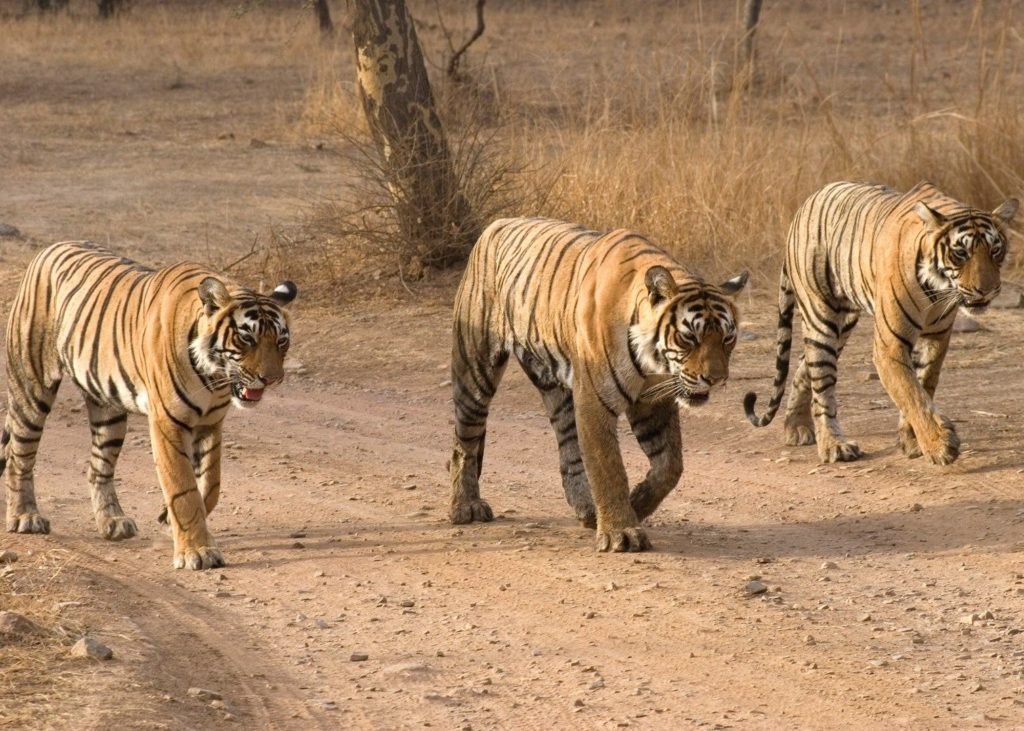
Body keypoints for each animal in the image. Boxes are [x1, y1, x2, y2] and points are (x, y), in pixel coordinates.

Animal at [4, 241, 299, 565]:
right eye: (247, 339)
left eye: (281, 341)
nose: (271, 379)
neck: (214, 378)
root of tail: (50, 248)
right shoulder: (169, 422)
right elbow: (183, 488)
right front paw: (197, 551)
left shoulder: (210, 423)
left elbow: (211, 483)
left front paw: (170, 521)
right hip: (32, 388)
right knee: (19, 455)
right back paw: (25, 517)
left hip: (108, 412)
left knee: (98, 467)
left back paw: (113, 522)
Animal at [452, 216, 749, 552]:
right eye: (690, 338)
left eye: (727, 338)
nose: (717, 379)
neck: (652, 361)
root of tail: (495, 224)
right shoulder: (595, 400)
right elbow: (609, 468)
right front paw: (622, 532)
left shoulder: (652, 401)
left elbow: (670, 465)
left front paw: (638, 503)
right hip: (476, 373)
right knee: (465, 442)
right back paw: (466, 506)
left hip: (558, 388)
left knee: (569, 448)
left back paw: (587, 509)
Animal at [745, 182, 1015, 464]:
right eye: (961, 253)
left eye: (995, 250)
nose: (986, 290)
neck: (938, 288)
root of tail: (805, 204)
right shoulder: (891, 345)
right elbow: (910, 393)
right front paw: (939, 445)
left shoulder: (936, 338)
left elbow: (923, 385)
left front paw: (912, 441)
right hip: (821, 316)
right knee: (822, 385)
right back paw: (834, 445)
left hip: (843, 323)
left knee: (803, 366)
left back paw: (796, 427)